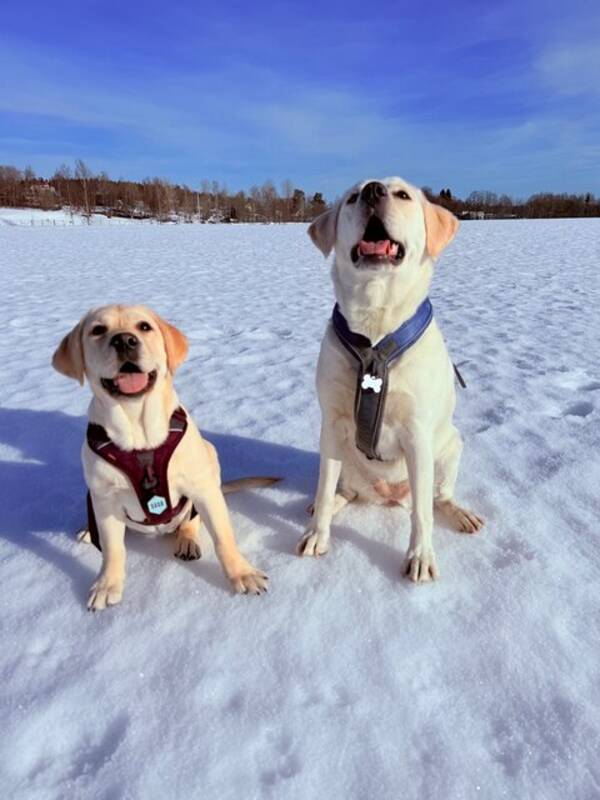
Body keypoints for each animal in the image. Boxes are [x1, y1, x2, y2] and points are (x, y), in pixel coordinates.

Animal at [54, 304, 270, 608]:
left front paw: (243, 574)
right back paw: (87, 530)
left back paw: (187, 542)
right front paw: (107, 585)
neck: (138, 432)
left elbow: (223, 538)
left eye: (144, 327)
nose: (124, 341)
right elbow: (112, 549)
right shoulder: (105, 498)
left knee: (190, 522)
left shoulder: (203, 490)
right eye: (98, 330)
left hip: (210, 456)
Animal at [298, 177, 486, 580]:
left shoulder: (416, 433)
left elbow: (422, 515)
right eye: (352, 197)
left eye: (402, 195)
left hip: (449, 449)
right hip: (343, 457)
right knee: (340, 492)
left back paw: (459, 513)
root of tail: (385, 495)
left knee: (436, 499)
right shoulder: (332, 423)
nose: (372, 190)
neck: (375, 326)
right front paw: (317, 535)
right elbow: (324, 490)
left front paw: (420, 557)